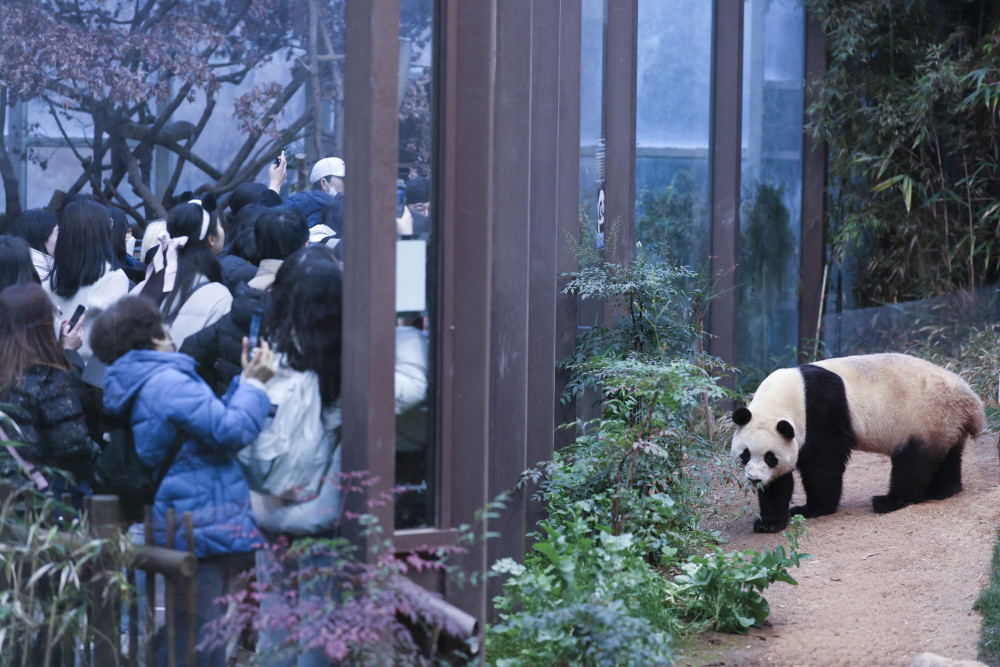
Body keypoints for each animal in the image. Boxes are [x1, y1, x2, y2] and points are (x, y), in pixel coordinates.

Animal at [732, 352, 988, 536]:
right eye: (745, 455)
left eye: (770, 457)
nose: (754, 479)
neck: (787, 396)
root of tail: (971, 402)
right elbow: (779, 484)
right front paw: (768, 523)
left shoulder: (820, 413)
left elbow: (823, 464)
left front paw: (813, 509)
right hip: (944, 424)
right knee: (947, 456)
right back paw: (944, 490)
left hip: (924, 418)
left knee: (913, 464)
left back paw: (889, 501)